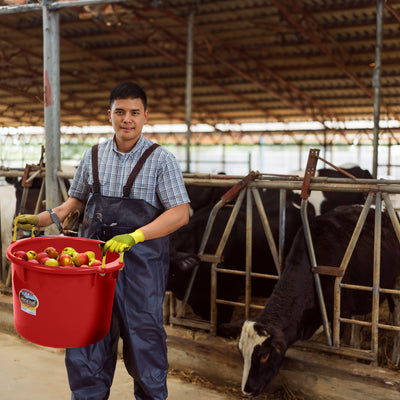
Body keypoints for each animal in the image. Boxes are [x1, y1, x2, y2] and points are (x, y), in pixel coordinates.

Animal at [233, 206, 400, 396]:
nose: (246, 389)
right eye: (241, 352)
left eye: (264, 355)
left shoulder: (339, 315)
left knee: (395, 321)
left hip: (395, 284)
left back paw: (394, 360)